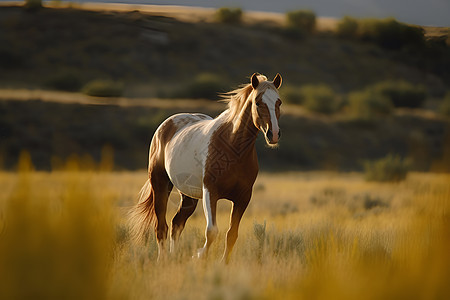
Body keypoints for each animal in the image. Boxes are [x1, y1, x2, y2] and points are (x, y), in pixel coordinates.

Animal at [128, 73, 282, 262]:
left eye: (279, 102)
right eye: (258, 102)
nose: (273, 134)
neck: (232, 147)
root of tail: (165, 126)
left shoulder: (243, 197)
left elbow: (232, 234)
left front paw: (224, 263)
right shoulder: (211, 193)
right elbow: (212, 231)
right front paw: (199, 256)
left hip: (188, 196)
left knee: (176, 224)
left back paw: (173, 257)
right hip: (160, 186)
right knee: (161, 227)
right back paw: (163, 260)